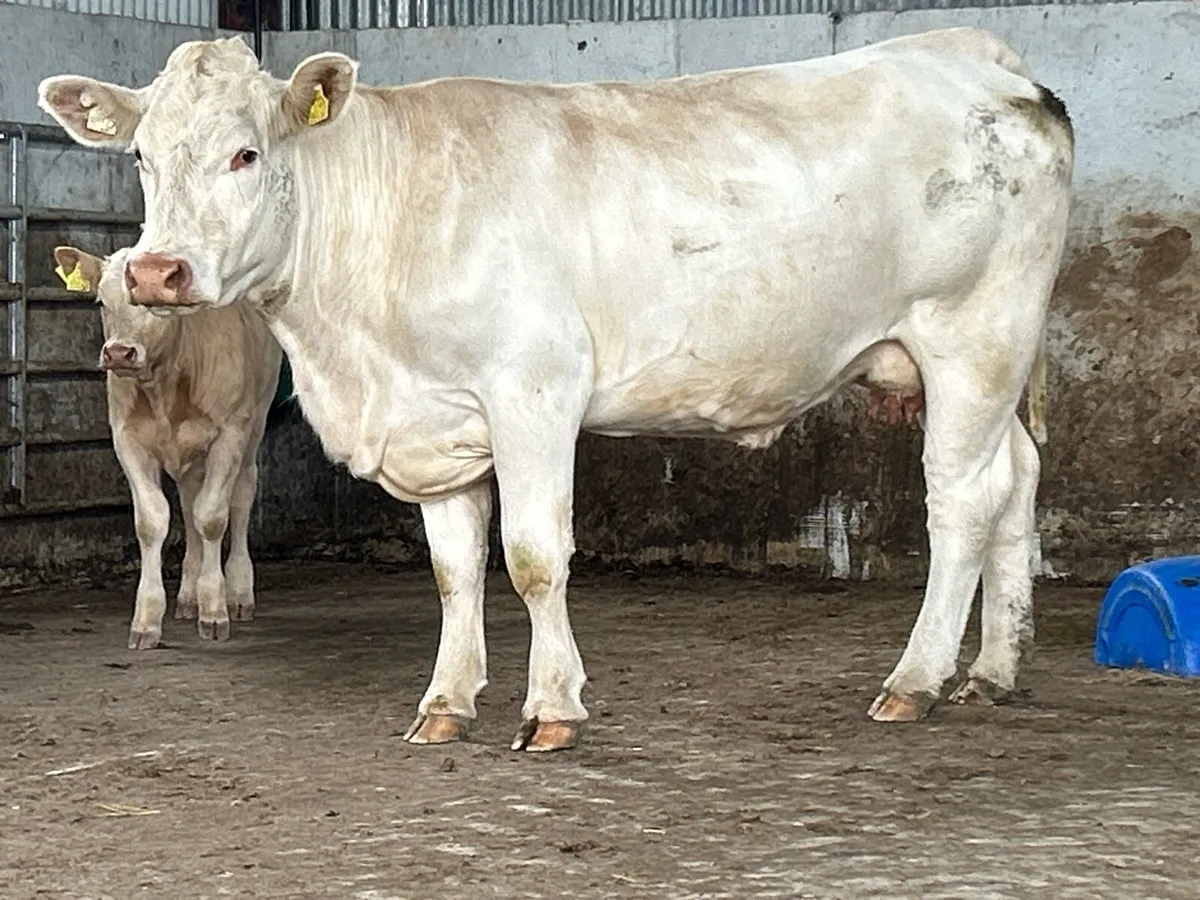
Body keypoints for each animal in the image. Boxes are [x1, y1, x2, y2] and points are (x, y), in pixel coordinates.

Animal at [53, 246, 283, 650]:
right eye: (101, 301)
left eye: (155, 303)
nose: (118, 353)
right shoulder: (127, 440)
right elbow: (154, 521)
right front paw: (147, 619)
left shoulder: (230, 435)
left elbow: (213, 518)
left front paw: (215, 609)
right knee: (190, 504)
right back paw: (189, 594)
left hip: (255, 420)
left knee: (240, 497)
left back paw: (238, 592)